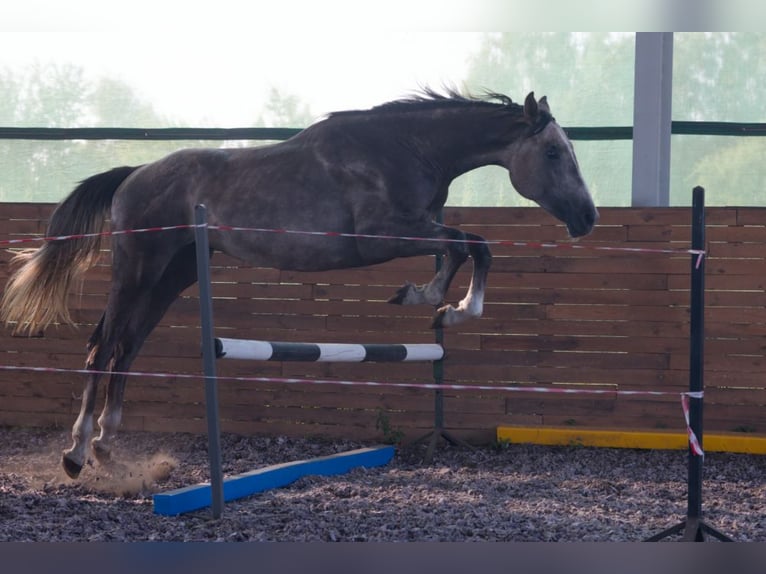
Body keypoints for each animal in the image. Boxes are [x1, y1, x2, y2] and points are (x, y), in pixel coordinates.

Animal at [1, 89, 597, 479]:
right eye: (552, 152)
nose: (587, 218)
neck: (408, 148)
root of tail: (133, 175)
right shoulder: (383, 235)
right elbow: (471, 244)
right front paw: (446, 305)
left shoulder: (415, 230)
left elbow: (461, 247)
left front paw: (433, 304)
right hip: (140, 268)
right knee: (104, 345)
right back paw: (77, 453)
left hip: (174, 274)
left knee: (127, 346)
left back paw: (105, 448)